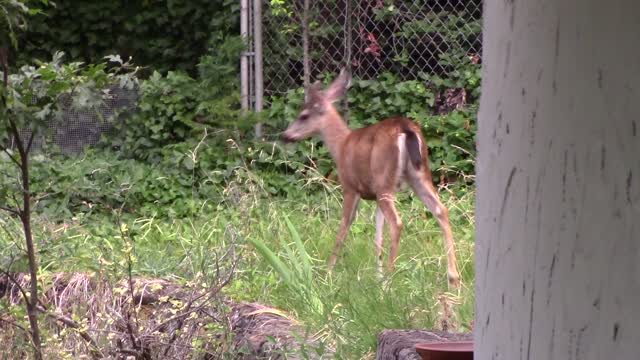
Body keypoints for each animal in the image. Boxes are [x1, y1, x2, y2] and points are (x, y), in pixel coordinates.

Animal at [282, 69, 460, 290]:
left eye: (303, 116)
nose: (285, 135)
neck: (341, 146)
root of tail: (406, 128)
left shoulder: (350, 187)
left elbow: (344, 226)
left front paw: (328, 273)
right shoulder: (373, 195)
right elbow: (377, 236)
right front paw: (377, 276)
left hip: (385, 179)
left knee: (397, 222)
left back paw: (391, 281)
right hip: (419, 175)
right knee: (441, 210)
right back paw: (453, 278)